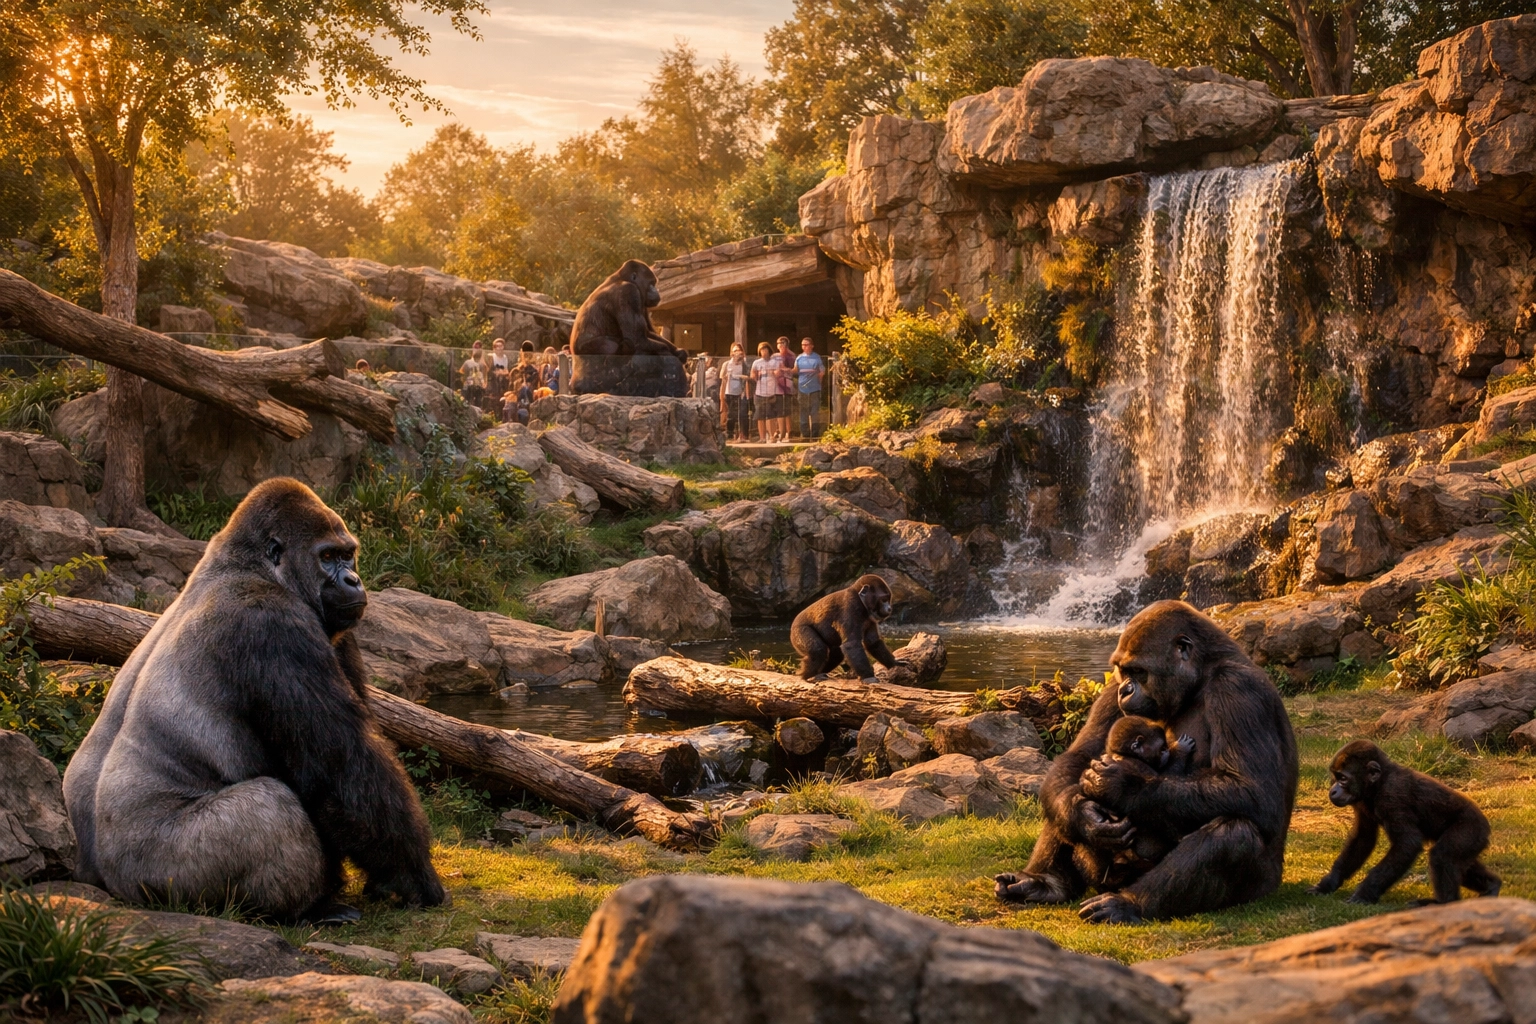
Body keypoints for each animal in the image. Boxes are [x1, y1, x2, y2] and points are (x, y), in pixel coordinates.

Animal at [63, 478, 445, 922]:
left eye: (348, 554)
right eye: (327, 557)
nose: (353, 580)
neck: (248, 565)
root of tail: (99, 877)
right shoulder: (272, 623)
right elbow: (344, 767)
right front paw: (411, 875)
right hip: (155, 875)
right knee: (270, 807)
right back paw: (309, 909)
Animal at [996, 600, 1298, 924]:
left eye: (1139, 671)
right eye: (1123, 671)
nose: (1126, 689)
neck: (1200, 676)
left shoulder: (1238, 689)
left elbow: (1249, 790)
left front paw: (1124, 786)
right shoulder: (1110, 688)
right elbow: (1078, 760)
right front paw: (1084, 816)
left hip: (1260, 885)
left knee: (1234, 832)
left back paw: (1130, 904)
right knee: (1064, 792)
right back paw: (1045, 881)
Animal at [1309, 740, 1500, 905]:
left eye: (1343, 778)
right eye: (1335, 777)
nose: (1333, 791)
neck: (1378, 782)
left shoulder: (1392, 795)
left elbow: (1407, 844)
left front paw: (1365, 893)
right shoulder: (1361, 801)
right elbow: (1362, 839)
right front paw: (1329, 883)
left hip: (1472, 827)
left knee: (1442, 856)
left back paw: (1443, 904)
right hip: (1475, 838)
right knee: (1461, 862)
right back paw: (1492, 886)